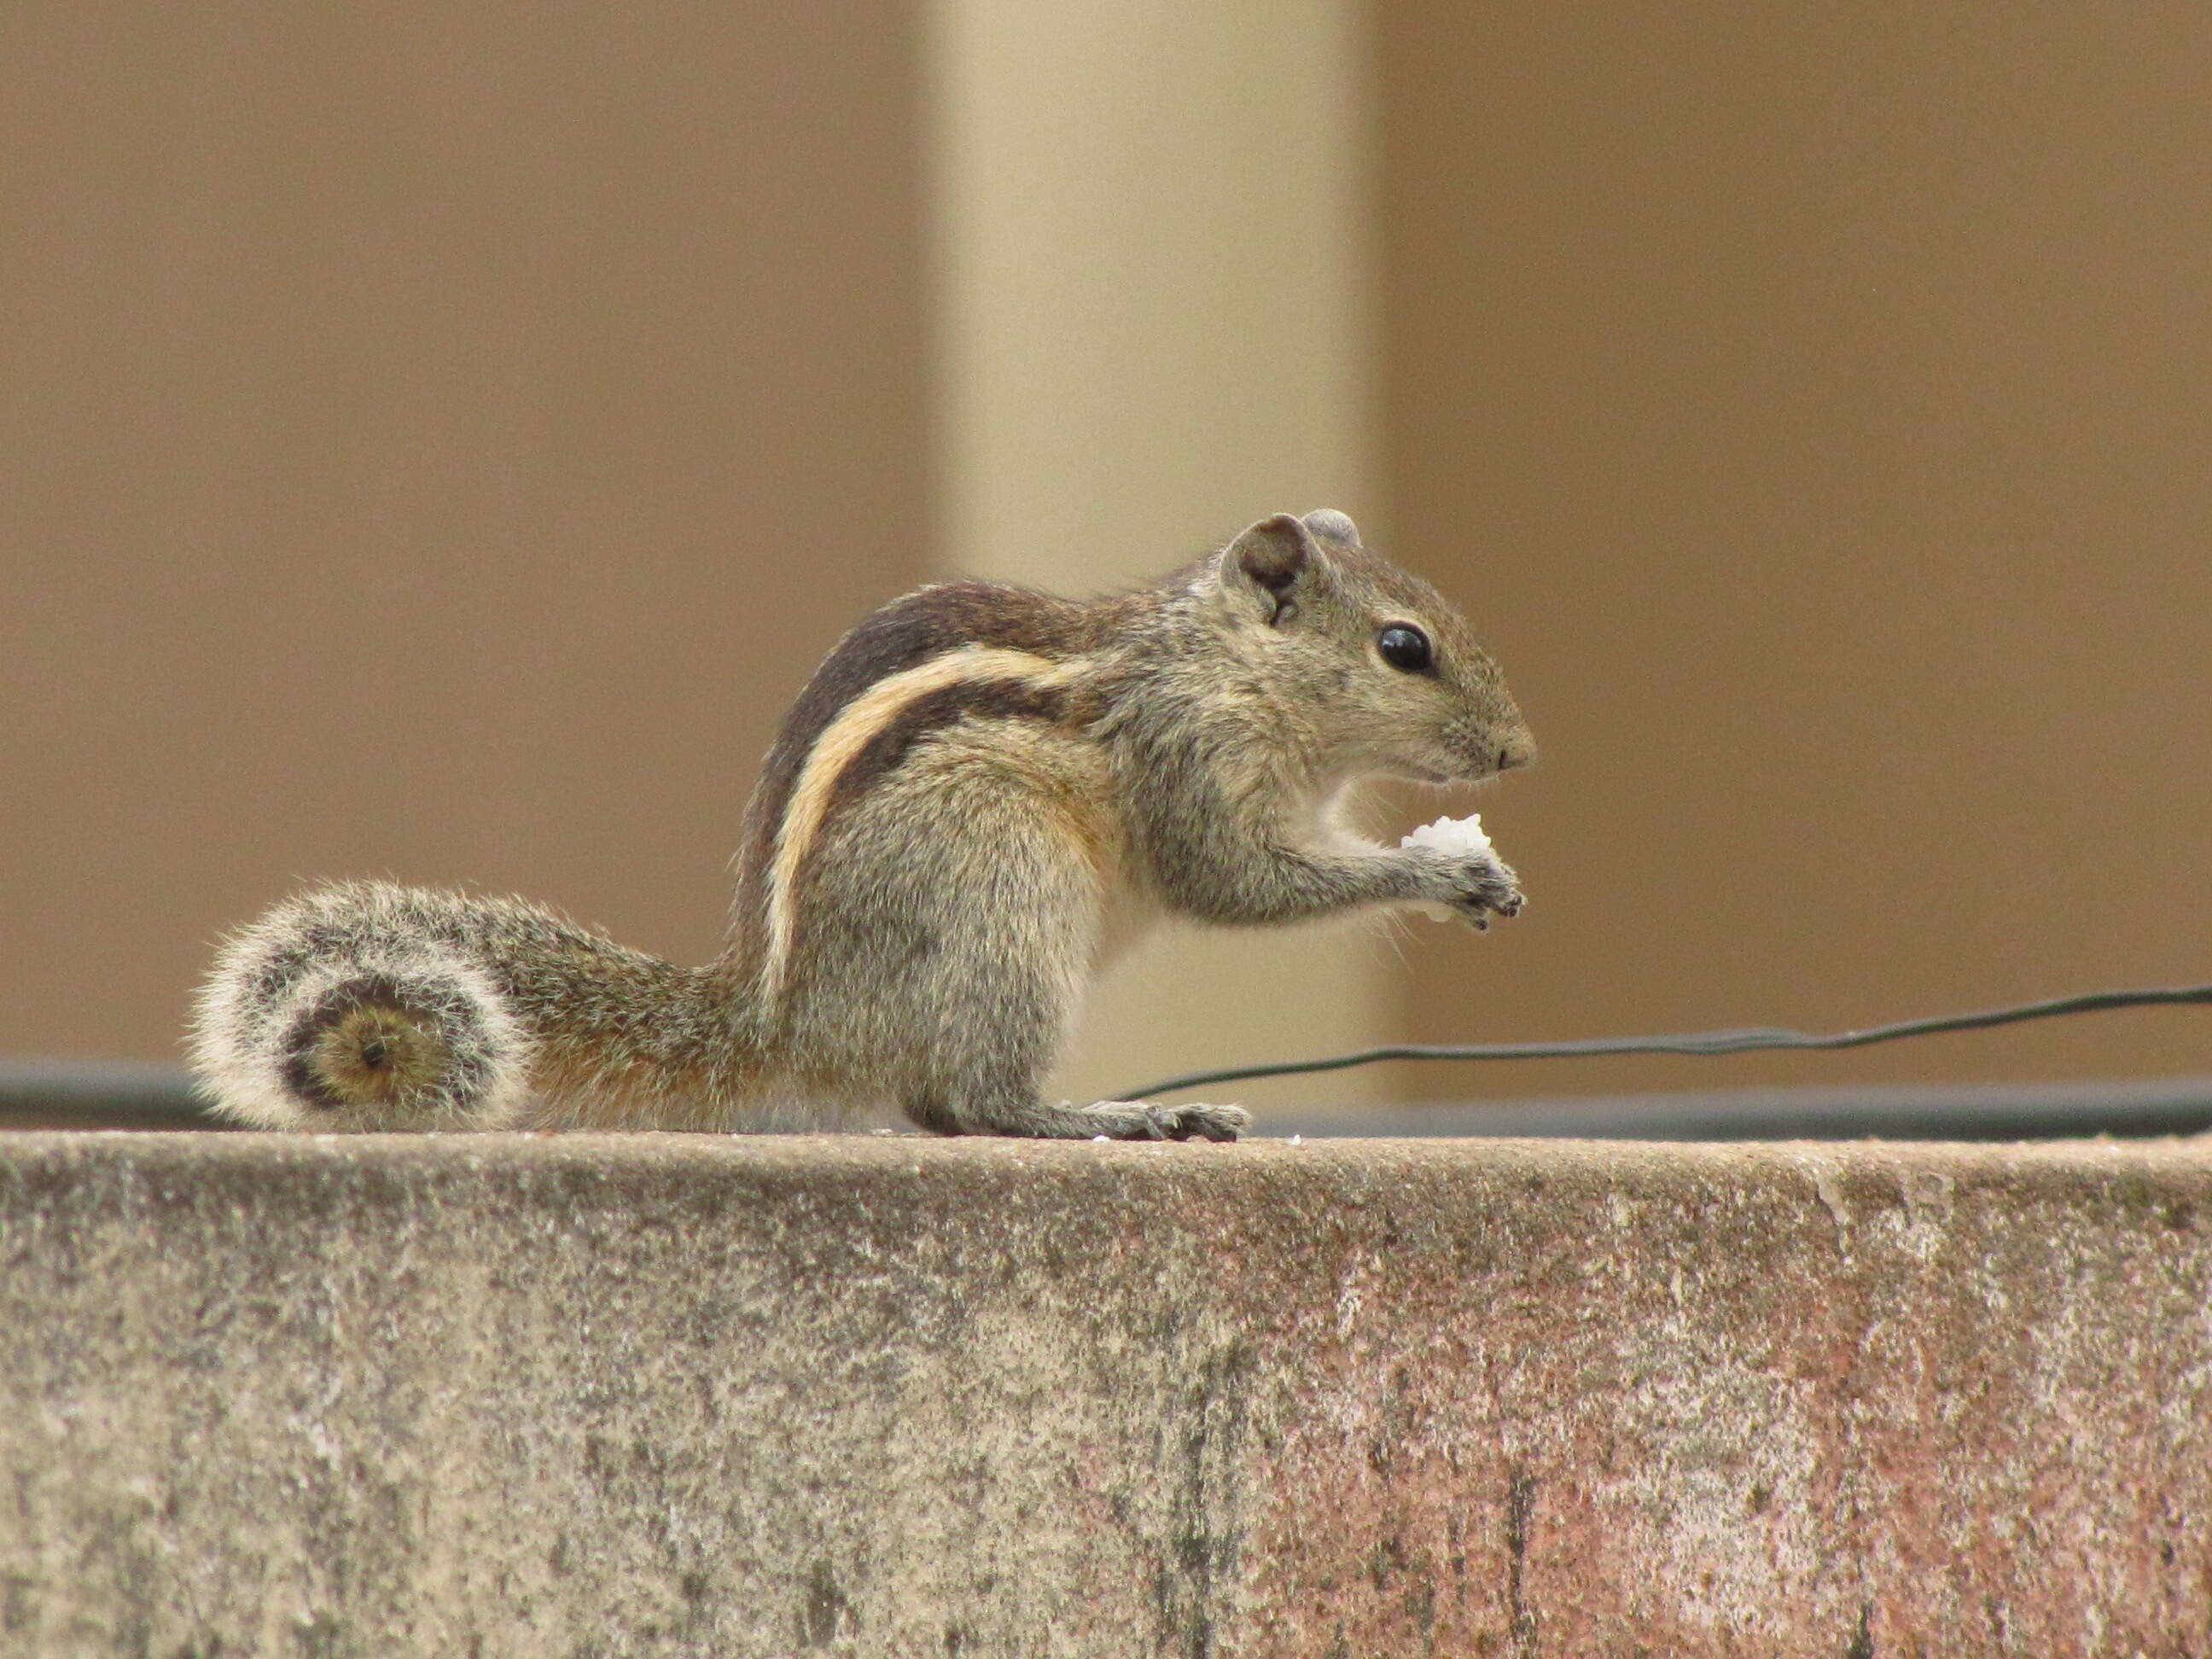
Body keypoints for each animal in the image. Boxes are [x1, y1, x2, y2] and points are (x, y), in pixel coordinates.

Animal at [185, 517, 1540, 1141]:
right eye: (1404, 648)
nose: (1521, 753)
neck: (1221, 663)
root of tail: (785, 1014)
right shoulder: (1188, 757)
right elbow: (1239, 883)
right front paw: (1445, 870)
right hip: (1005, 886)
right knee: (974, 1102)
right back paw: (1115, 1118)